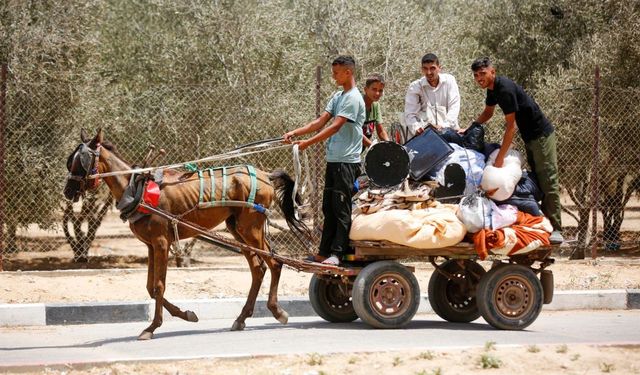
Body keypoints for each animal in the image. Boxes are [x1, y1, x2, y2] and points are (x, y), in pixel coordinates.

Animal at [63, 129, 308, 340]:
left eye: (81, 161)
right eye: (70, 160)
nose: (67, 191)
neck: (137, 190)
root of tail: (265, 174)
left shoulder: (161, 243)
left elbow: (158, 285)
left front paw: (152, 327)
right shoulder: (151, 245)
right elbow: (150, 287)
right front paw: (186, 315)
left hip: (251, 228)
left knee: (275, 263)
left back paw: (277, 311)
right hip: (237, 229)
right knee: (258, 268)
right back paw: (242, 317)